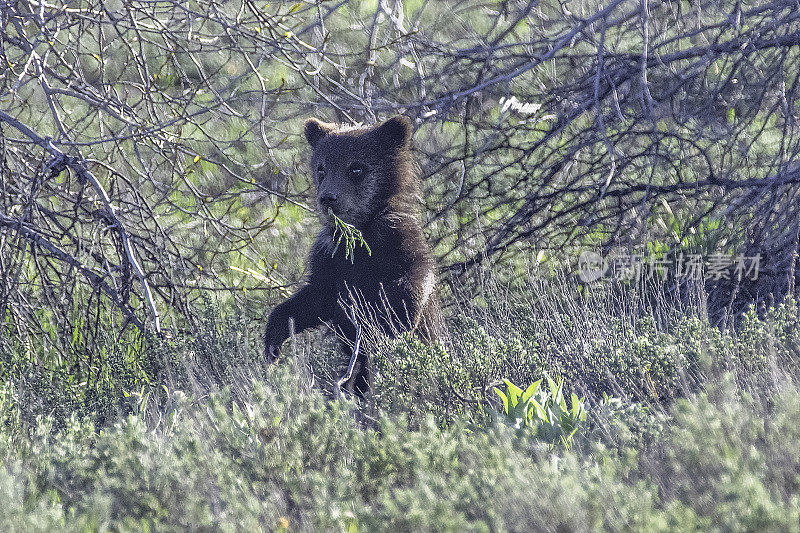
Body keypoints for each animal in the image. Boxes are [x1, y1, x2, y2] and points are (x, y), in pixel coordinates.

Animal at [268, 114, 444, 392]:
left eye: (356, 169)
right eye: (321, 168)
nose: (328, 198)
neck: (360, 236)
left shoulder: (398, 245)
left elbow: (414, 281)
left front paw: (394, 326)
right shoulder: (331, 262)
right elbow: (312, 299)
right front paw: (273, 338)